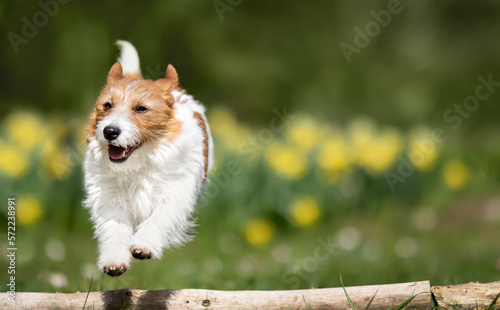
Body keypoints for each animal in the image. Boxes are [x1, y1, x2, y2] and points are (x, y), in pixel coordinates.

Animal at [84, 40, 213, 276]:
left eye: (142, 108)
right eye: (107, 105)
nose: (109, 131)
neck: (139, 165)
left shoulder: (174, 195)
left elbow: (158, 219)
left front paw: (144, 245)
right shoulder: (109, 199)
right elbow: (114, 228)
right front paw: (114, 259)